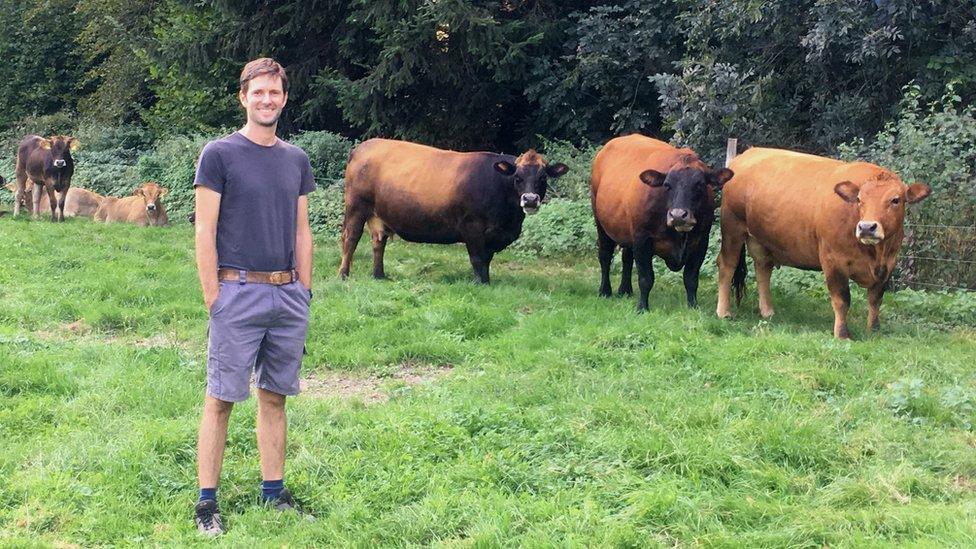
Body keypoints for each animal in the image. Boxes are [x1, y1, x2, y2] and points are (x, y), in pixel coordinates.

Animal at [340, 137, 568, 282]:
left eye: (543, 177)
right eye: (517, 177)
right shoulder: (472, 226)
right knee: (351, 238)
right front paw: (481, 283)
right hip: (356, 206)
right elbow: (478, 259)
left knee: (379, 241)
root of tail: (362, 147)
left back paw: (379, 276)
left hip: (378, 214)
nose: (529, 199)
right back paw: (344, 275)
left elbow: (487, 259)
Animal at [588, 133, 732, 310]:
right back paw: (605, 291)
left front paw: (693, 306)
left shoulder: (701, 242)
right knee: (605, 255)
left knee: (626, 257)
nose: (678, 215)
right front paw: (642, 308)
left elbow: (691, 278)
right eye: (667, 185)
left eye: (699, 184)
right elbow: (645, 278)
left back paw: (625, 290)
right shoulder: (642, 239)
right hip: (601, 223)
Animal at [716, 148, 932, 340]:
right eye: (859, 199)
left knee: (763, 269)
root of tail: (747, 154)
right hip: (733, 228)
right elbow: (842, 299)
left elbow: (875, 298)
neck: (875, 253)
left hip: (761, 240)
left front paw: (874, 329)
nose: (867, 227)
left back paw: (768, 311)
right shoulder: (833, 261)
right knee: (727, 265)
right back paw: (723, 312)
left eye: (895, 200)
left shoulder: (889, 264)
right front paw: (842, 335)